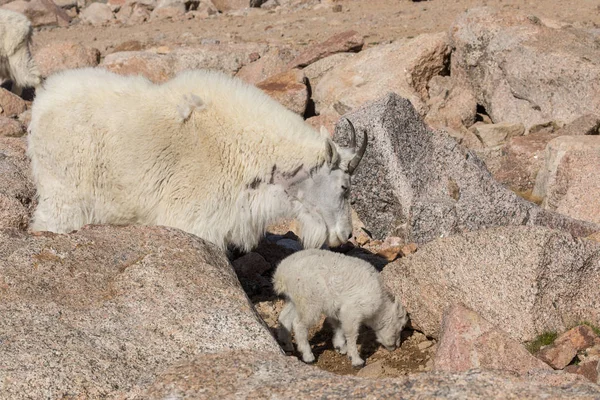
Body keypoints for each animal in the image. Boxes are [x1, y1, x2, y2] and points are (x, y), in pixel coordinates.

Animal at [272, 248, 408, 368]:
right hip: (309, 300)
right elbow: (351, 333)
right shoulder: (353, 310)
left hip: (294, 299)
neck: (380, 304)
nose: (396, 346)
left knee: (285, 318)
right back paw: (308, 356)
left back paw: (286, 345)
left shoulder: (338, 309)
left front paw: (340, 347)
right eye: (401, 327)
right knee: (299, 324)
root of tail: (281, 274)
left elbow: (338, 326)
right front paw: (356, 360)